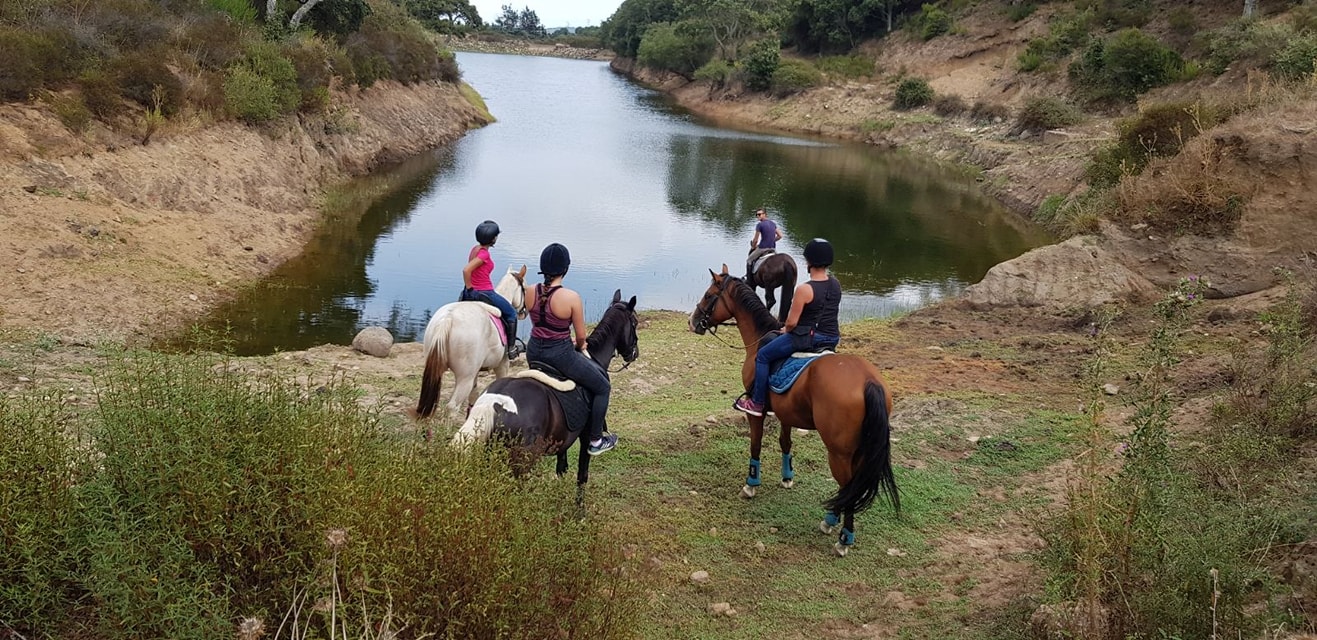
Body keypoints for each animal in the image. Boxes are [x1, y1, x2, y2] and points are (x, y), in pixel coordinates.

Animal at [418, 264, 526, 418]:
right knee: (452, 407)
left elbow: (474, 396)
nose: (524, 312)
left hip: (436, 371)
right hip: (465, 378)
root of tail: (448, 319)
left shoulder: (476, 371)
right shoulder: (502, 365)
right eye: (525, 289)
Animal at [450, 289, 640, 484]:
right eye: (635, 322)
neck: (593, 358)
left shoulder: (563, 443)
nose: (634, 353)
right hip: (521, 464)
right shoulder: (586, 436)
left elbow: (561, 469)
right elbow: (582, 476)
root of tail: (494, 403)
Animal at [690, 264, 895, 555]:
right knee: (850, 487)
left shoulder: (756, 413)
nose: (693, 321)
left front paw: (751, 485)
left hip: (839, 452)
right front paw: (787, 477)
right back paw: (832, 520)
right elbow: (785, 443)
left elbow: (755, 445)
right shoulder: (786, 412)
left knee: (847, 485)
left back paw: (842, 536)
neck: (759, 339)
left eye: (709, 295)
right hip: (859, 449)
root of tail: (869, 381)